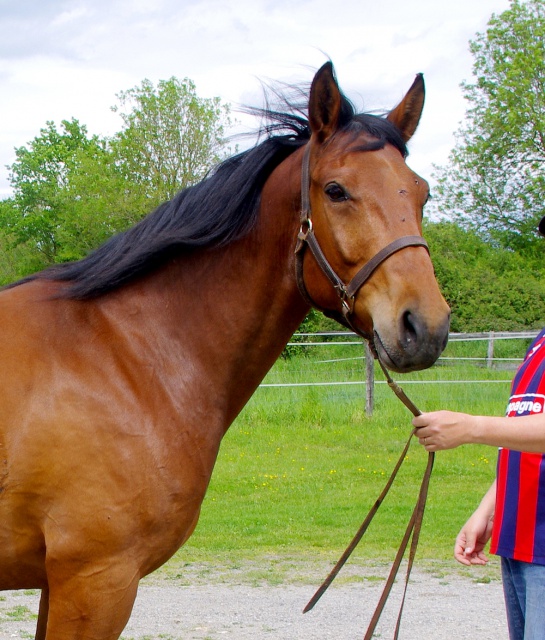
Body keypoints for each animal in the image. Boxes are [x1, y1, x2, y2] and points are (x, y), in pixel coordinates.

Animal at [0, 61, 448, 640]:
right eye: (336, 190)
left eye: (421, 193)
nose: (424, 326)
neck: (124, 357)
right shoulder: (95, 579)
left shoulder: (62, 583)